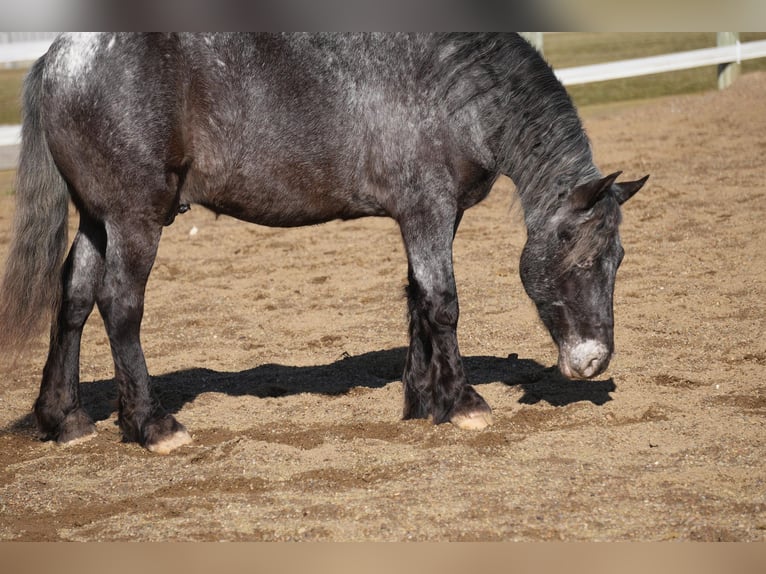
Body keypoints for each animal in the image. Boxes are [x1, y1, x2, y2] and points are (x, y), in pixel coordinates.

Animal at [0, 33, 647, 454]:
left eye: (618, 259)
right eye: (584, 257)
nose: (593, 360)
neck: (456, 86)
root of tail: (59, 57)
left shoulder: (427, 218)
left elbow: (417, 299)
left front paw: (423, 401)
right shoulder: (428, 211)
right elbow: (442, 303)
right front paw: (464, 404)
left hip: (97, 218)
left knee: (74, 300)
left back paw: (64, 418)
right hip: (134, 218)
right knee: (120, 306)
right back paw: (153, 425)